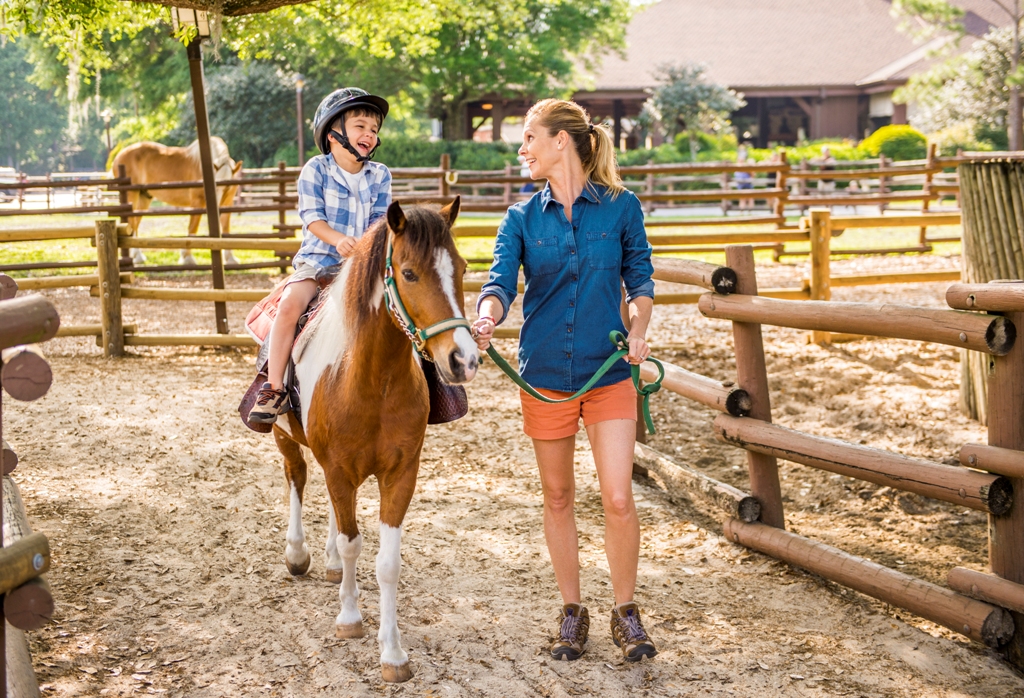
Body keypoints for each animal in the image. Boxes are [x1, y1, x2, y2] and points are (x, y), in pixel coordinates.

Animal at [110, 136, 243, 264]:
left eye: (227, 186)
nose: (216, 208)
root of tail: (118, 156)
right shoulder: (197, 202)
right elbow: (193, 228)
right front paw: (187, 257)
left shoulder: (227, 204)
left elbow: (225, 228)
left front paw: (230, 258)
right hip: (132, 196)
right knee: (131, 223)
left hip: (144, 198)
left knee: (135, 223)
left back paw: (138, 256)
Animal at [272, 194, 479, 679]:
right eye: (409, 273)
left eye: (462, 268)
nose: (464, 360)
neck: (371, 379)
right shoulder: (338, 469)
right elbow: (353, 545)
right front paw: (349, 617)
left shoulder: (401, 473)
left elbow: (387, 563)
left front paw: (393, 652)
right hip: (285, 439)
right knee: (297, 479)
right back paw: (298, 554)